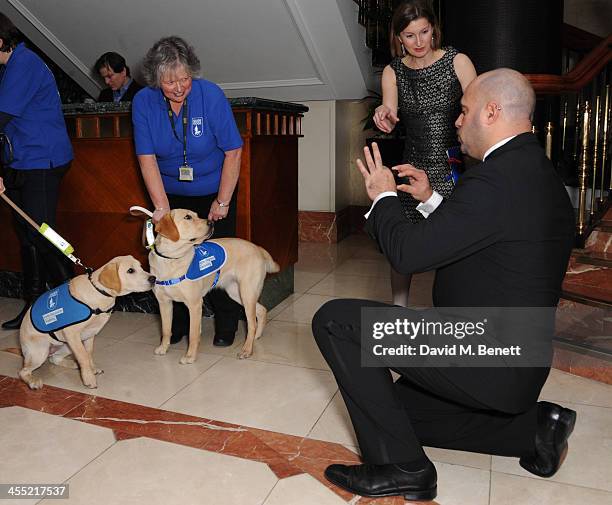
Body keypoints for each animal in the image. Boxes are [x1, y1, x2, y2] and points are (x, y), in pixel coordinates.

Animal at [19, 256, 155, 390]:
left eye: (141, 267)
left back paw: (73, 364)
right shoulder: (72, 334)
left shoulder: (89, 335)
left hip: (66, 347)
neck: (98, 291)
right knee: (23, 371)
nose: (153, 278)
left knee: (55, 359)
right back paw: (33, 381)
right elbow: (83, 356)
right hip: (41, 352)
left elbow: (88, 353)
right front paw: (89, 378)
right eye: (130, 271)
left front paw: (91, 369)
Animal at [151, 209, 280, 362]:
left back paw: (247, 349)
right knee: (262, 311)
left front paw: (190, 356)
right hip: (237, 293)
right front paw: (163, 348)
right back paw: (256, 337)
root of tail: (258, 248)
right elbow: (166, 330)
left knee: (252, 324)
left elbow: (193, 334)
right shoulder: (164, 303)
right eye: (188, 217)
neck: (171, 260)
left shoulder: (194, 304)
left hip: (247, 293)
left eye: (195, 215)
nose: (211, 222)